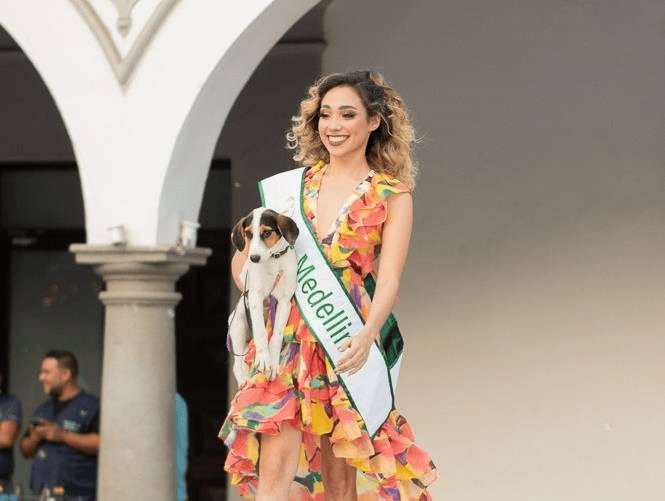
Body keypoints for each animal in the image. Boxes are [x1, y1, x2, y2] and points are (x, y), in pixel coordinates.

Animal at [230, 205, 300, 384]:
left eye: (267, 233)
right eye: (248, 234)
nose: (254, 258)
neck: (273, 260)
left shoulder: (284, 301)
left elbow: (277, 334)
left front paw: (272, 361)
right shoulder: (255, 296)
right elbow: (261, 332)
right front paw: (263, 359)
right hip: (238, 326)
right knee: (237, 364)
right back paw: (243, 380)